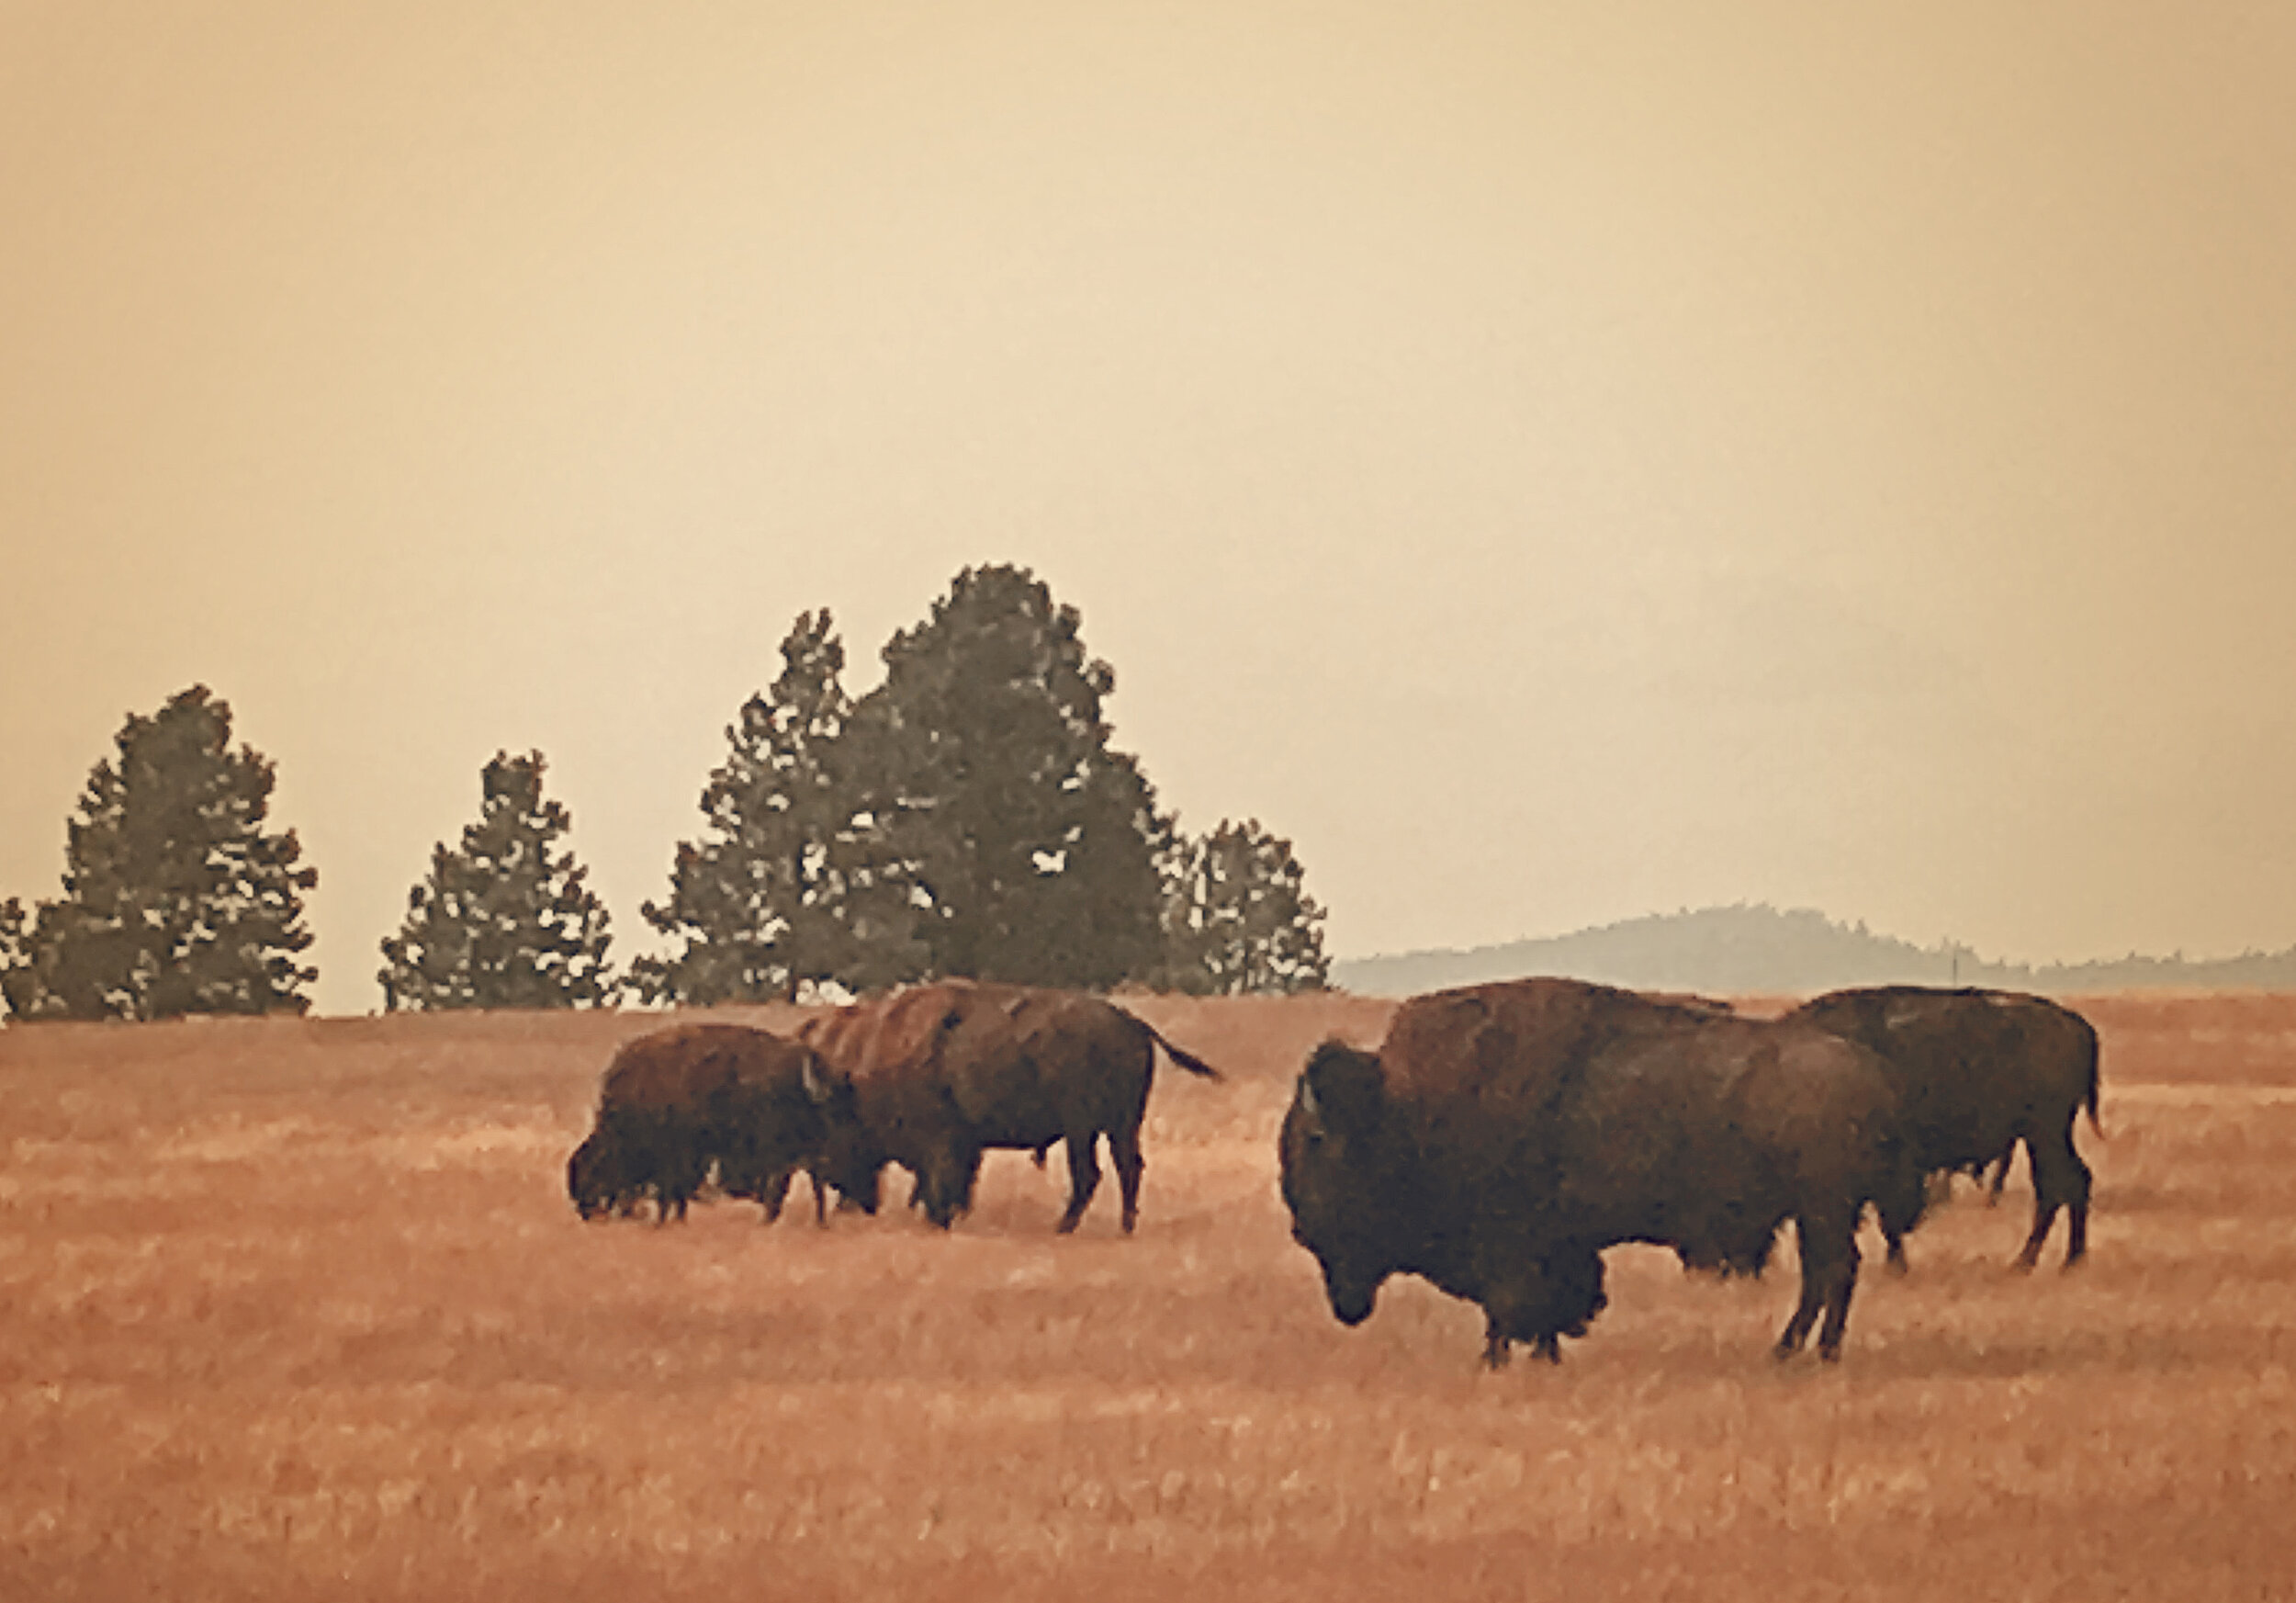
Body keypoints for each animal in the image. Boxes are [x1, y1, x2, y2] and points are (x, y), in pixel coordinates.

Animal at [797, 981, 1221, 1233]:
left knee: (1089, 1173)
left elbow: (940, 1184)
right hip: (1121, 1125)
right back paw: (1123, 1226)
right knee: (1127, 1167)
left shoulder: (941, 1143)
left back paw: (1064, 1226)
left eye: (836, 1128)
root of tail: (1130, 1023)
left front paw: (938, 1220)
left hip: (1082, 1128)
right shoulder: (965, 1145)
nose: (851, 1201)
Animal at [1280, 978, 1925, 1366]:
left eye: (1314, 1142)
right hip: (1822, 1211)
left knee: (1831, 1273)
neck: (1401, 1107)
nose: (1299, 1228)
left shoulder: (1511, 1245)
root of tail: (1875, 1072)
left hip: (1822, 1208)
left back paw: (1801, 1352)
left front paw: (1496, 1360)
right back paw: (1800, 1351)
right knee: (1830, 1273)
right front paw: (1540, 1357)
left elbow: (1509, 1304)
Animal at [1787, 986, 2102, 1270]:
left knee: (2059, 1184)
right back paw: (2065, 1259)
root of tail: (2076, 1024)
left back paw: (2033, 1261)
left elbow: (1887, 1219)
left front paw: (1894, 1266)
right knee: (2073, 1180)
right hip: (2044, 1135)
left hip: (2046, 1132)